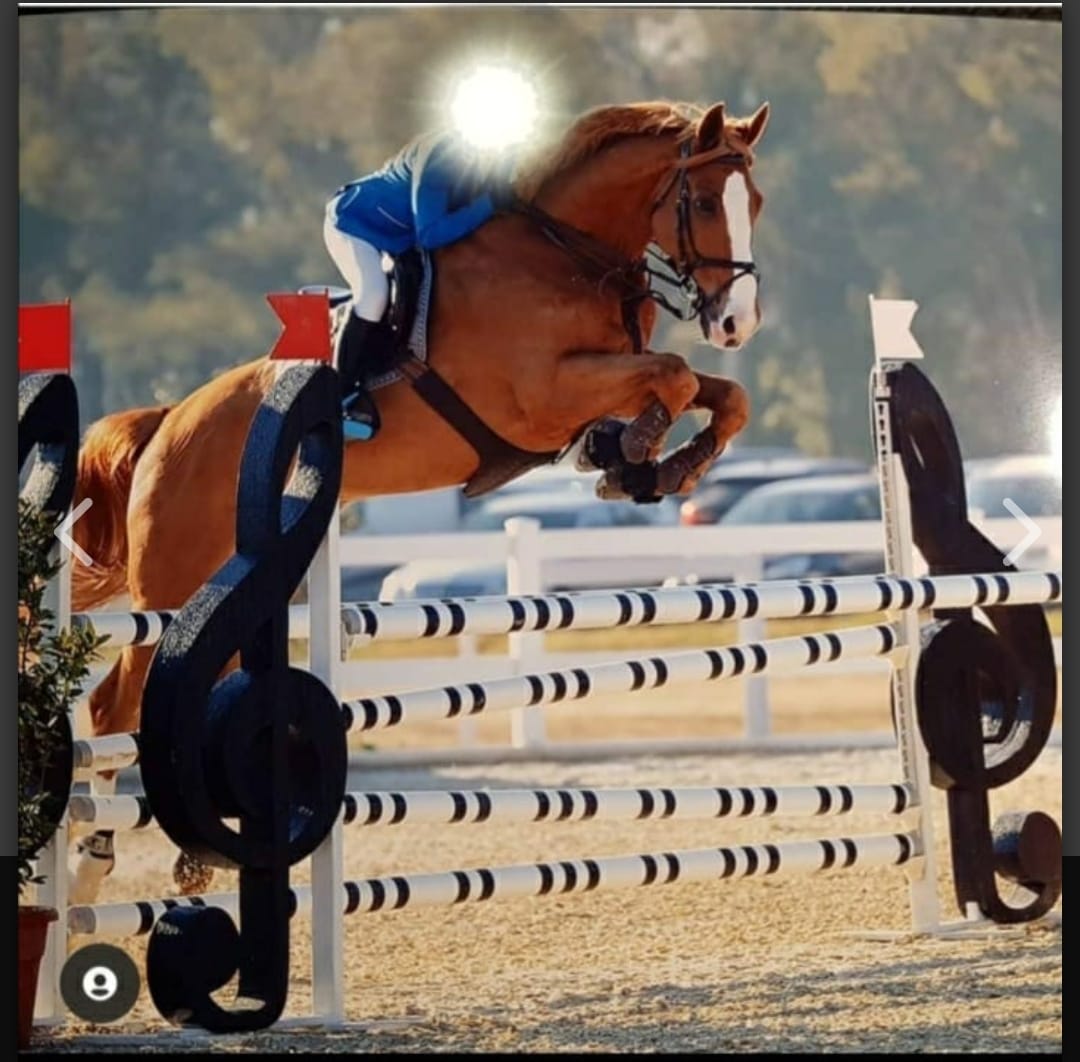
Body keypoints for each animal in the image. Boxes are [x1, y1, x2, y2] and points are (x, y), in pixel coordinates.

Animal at [69, 99, 771, 900]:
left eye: (754, 202)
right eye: (704, 203)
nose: (736, 324)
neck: (567, 251)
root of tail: (167, 422)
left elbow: (722, 395)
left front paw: (654, 464)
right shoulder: (542, 396)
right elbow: (675, 376)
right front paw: (636, 451)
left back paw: (195, 859)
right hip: (173, 589)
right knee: (114, 706)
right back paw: (89, 868)